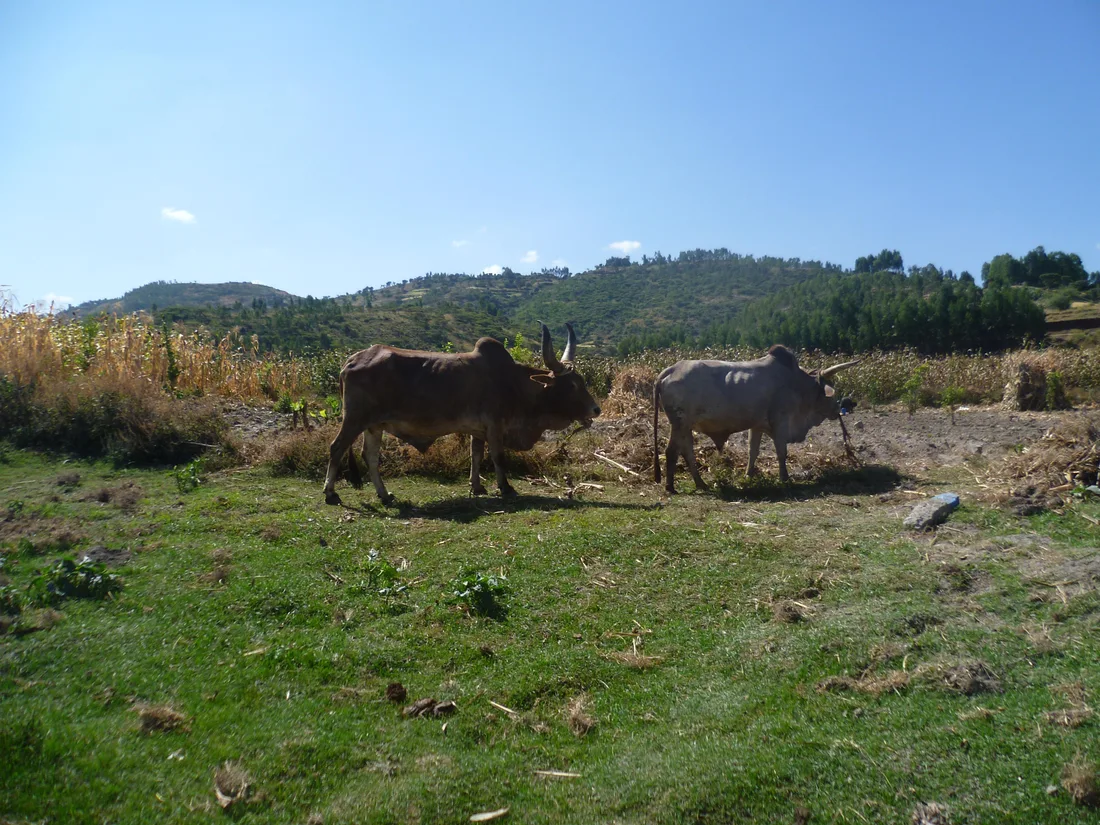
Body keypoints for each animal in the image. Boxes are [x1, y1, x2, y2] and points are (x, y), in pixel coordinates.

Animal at [322, 324, 601, 505]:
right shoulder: (495, 426)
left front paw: (477, 487)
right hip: (354, 420)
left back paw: (385, 495)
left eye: (582, 381)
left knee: (369, 457)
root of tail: (351, 361)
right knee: (336, 448)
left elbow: (476, 455)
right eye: (572, 385)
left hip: (374, 425)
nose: (596, 409)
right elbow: (498, 457)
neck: (514, 383)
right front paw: (506, 488)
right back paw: (331, 493)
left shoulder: (478, 429)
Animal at [653, 345, 859, 493]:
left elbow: (753, 452)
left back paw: (700, 483)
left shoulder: (757, 426)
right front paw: (785, 478)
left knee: (686, 452)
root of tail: (670, 370)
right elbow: (781, 452)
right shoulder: (781, 422)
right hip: (679, 424)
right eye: (831, 392)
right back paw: (671, 487)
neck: (798, 385)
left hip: (685, 426)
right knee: (672, 452)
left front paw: (748, 476)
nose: (839, 409)